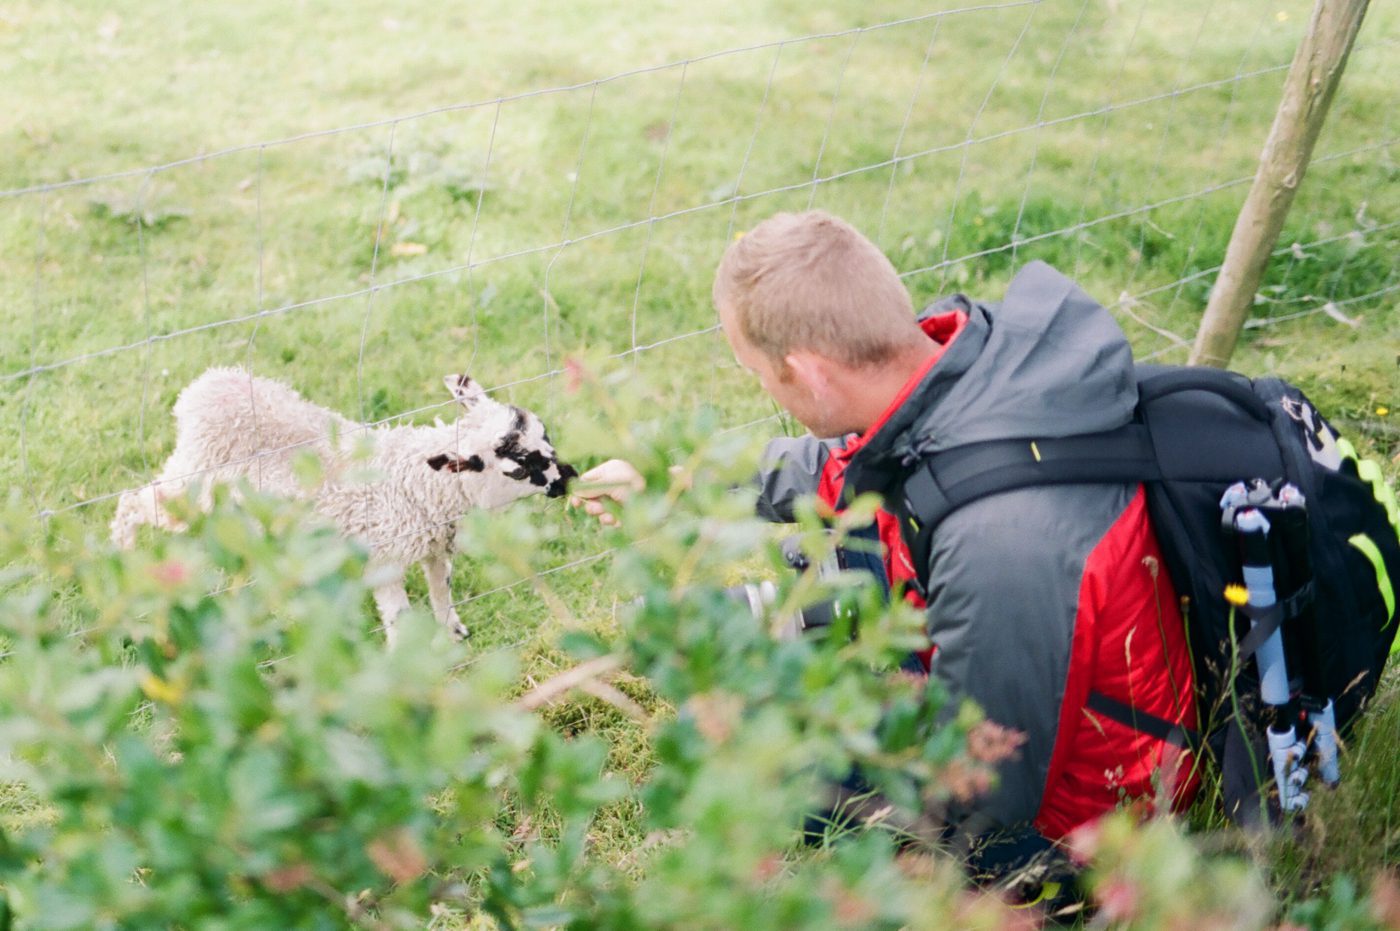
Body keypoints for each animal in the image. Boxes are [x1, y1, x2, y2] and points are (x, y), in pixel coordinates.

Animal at [111, 367, 576, 643]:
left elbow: (440, 591)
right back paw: (122, 558)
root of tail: (201, 388)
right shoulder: (384, 557)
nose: (567, 480)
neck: (421, 480)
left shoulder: (433, 543)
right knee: (132, 502)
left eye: (546, 435)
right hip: (190, 481)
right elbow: (399, 616)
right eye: (520, 465)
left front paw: (454, 632)